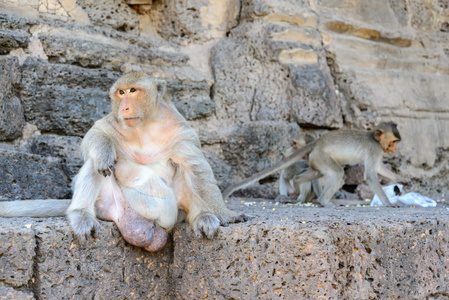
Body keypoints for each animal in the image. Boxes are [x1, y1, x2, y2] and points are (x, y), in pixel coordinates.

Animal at [0, 72, 248, 251]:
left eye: (133, 91)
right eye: (120, 92)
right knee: (94, 164)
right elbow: (95, 135)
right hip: (108, 205)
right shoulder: (114, 121)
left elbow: (196, 167)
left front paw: (224, 213)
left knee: (186, 172)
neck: (145, 126)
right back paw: (80, 214)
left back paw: (202, 217)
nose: (125, 106)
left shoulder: (180, 130)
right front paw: (104, 152)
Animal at [222, 123, 412, 207]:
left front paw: (403, 180)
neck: (374, 137)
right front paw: (389, 204)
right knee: (337, 173)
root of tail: (317, 143)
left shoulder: (378, 151)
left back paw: (298, 182)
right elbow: (371, 175)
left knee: (317, 174)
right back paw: (323, 202)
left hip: (315, 160)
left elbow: (380, 169)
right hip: (321, 156)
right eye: (394, 141)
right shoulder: (374, 149)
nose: (395, 148)